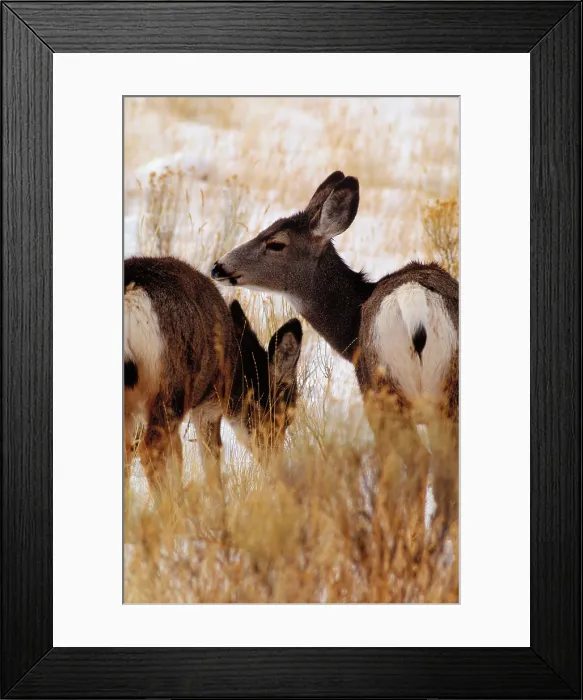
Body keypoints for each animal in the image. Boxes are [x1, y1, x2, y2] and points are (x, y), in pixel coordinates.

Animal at [124, 255, 303, 500]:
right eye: (285, 417)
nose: (277, 465)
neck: (235, 362)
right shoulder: (209, 404)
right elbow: (212, 463)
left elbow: (177, 460)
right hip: (171, 389)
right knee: (150, 450)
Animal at [211, 171, 458, 534]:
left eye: (277, 243)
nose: (218, 267)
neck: (352, 328)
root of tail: (416, 304)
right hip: (447, 394)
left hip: (384, 394)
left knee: (417, 462)